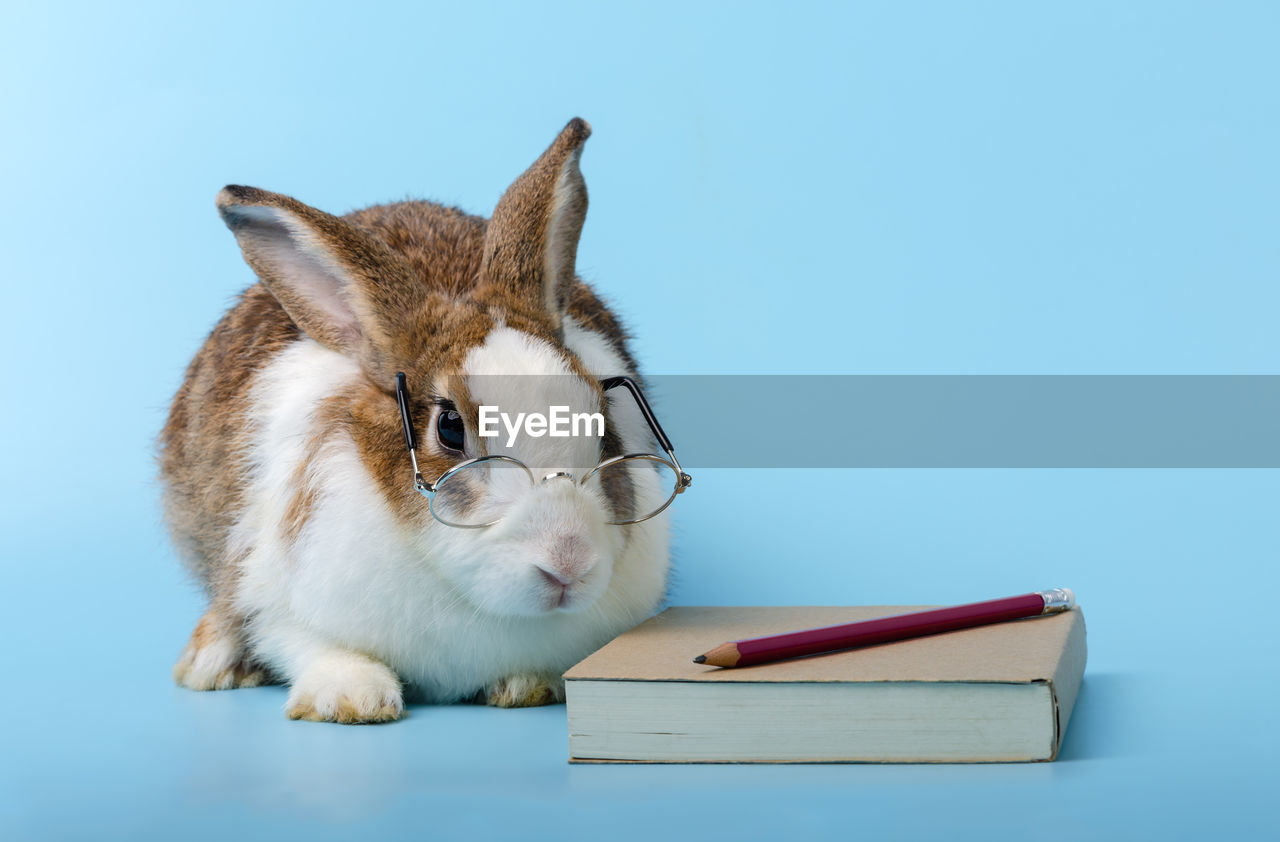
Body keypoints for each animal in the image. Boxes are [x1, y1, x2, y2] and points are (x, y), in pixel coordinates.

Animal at [160, 117, 670, 721]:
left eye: (602, 422)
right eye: (449, 428)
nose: (567, 564)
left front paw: (527, 686)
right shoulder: (275, 594)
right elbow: (305, 643)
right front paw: (352, 698)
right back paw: (212, 665)